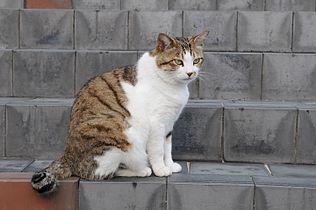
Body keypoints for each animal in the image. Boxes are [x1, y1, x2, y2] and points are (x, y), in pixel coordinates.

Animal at [30, 30, 209, 194]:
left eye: (196, 60)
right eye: (178, 61)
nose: (190, 73)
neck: (172, 85)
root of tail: (68, 156)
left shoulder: (169, 122)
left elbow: (168, 147)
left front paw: (170, 164)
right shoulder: (157, 122)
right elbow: (158, 149)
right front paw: (161, 169)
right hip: (120, 139)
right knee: (102, 172)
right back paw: (142, 170)